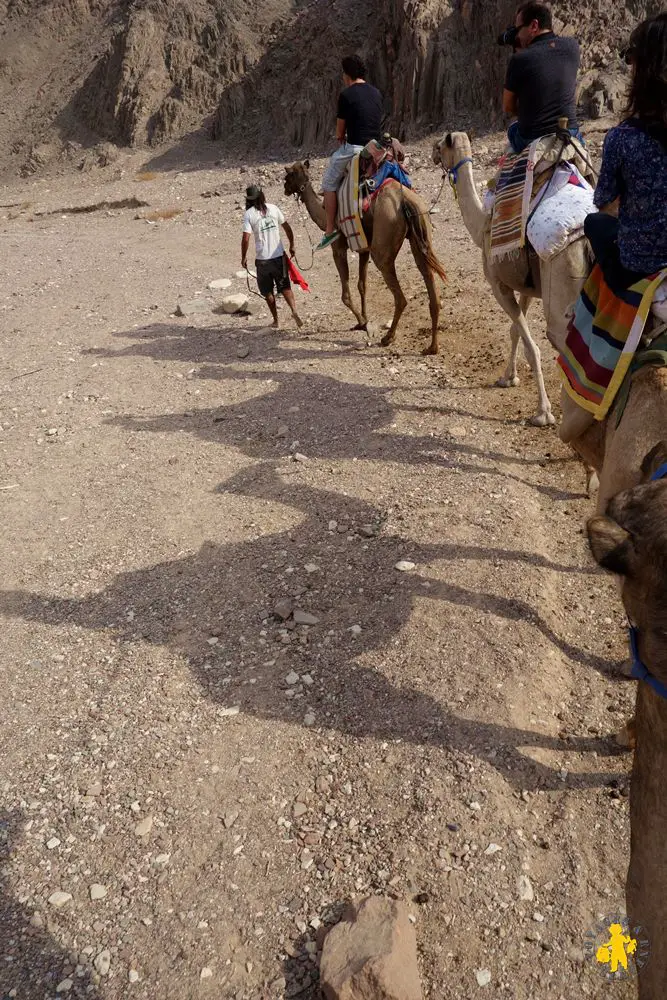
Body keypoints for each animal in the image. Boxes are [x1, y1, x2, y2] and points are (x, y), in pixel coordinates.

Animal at [284, 160, 448, 356]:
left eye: (288, 175)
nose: (285, 188)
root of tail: (405, 201)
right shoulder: (364, 250)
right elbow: (362, 286)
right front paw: (364, 319)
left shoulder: (338, 247)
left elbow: (346, 294)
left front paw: (362, 323)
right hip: (421, 231)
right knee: (429, 278)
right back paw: (432, 347)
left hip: (384, 239)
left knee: (399, 295)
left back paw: (388, 338)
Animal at [436, 130, 592, 426]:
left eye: (441, 145)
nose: (432, 151)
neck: (483, 225)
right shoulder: (526, 285)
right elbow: (514, 331)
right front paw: (508, 378)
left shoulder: (498, 284)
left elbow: (532, 346)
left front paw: (543, 413)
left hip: (563, 277)